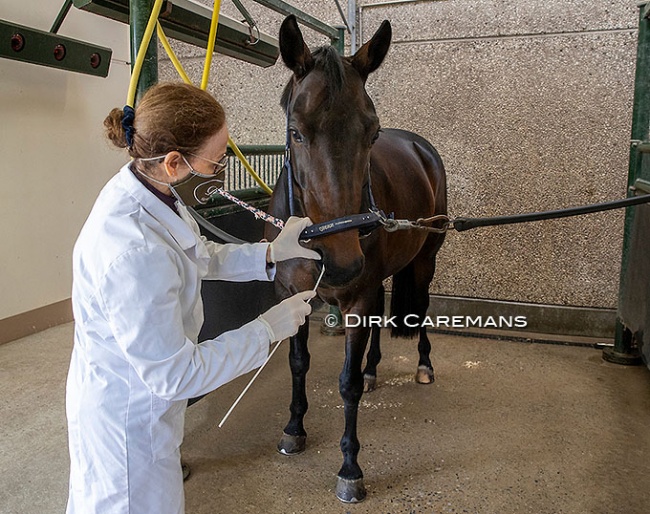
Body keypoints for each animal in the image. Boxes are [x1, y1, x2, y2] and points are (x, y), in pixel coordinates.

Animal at [264, 16, 446, 500]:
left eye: (373, 133)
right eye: (296, 131)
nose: (343, 261)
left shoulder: (357, 297)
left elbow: (345, 385)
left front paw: (350, 468)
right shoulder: (293, 296)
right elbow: (298, 363)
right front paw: (294, 428)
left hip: (425, 259)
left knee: (420, 306)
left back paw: (423, 366)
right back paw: (372, 369)